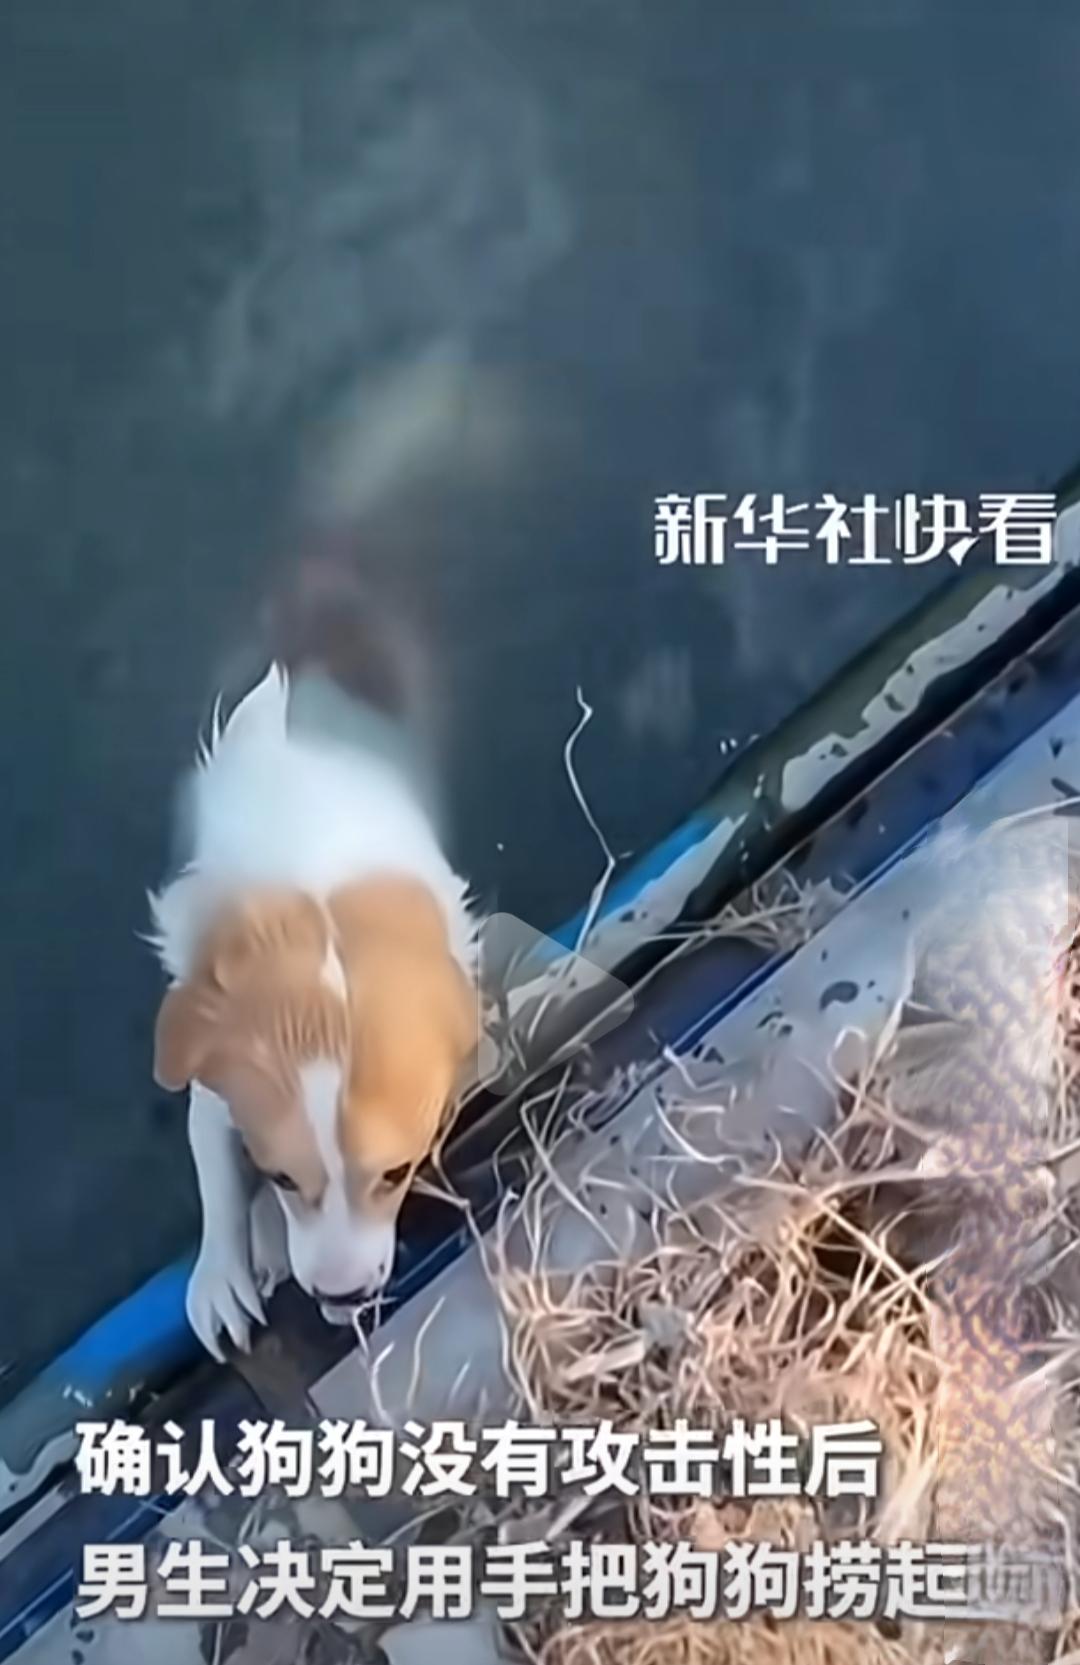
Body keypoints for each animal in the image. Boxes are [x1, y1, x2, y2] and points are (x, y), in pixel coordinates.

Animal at [148, 562, 479, 1360]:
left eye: (398, 1171)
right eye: (281, 1174)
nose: (342, 1295)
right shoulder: (214, 1069)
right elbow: (215, 1166)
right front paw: (225, 1269)